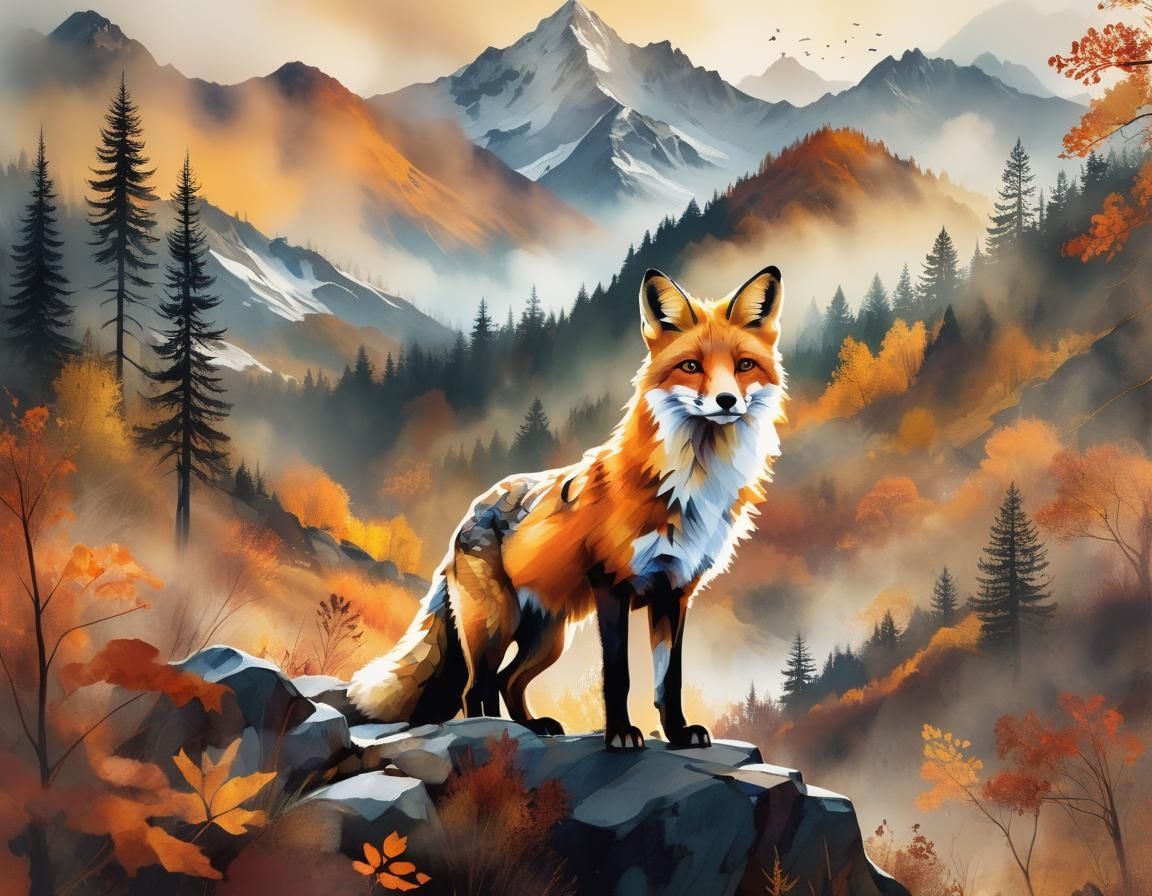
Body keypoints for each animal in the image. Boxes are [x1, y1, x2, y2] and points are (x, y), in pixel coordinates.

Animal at [349, 265, 786, 750]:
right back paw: (496, 735)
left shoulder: (674, 592)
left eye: (744, 365)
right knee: (476, 688)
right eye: (691, 366)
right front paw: (621, 734)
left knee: (508, 681)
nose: (727, 401)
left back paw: (531, 726)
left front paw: (676, 733)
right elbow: (619, 676)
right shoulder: (611, 585)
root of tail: (472, 510)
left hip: (547, 637)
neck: (689, 487)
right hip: (497, 624)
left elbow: (667, 681)